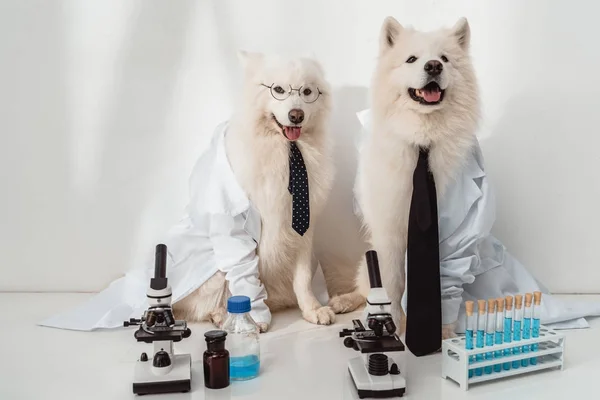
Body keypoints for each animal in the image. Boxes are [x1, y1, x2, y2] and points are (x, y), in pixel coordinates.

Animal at [171, 51, 338, 332]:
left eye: (307, 92)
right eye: (278, 90)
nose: (296, 115)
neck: (286, 150)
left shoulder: (303, 228)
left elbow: (302, 278)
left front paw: (313, 310)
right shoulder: (237, 231)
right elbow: (245, 277)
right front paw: (253, 316)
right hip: (212, 270)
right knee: (202, 303)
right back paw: (219, 315)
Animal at [328, 17, 478, 340]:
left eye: (445, 59)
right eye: (411, 59)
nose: (433, 66)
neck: (423, 140)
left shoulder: (454, 237)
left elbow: (446, 281)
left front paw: (441, 333)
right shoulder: (389, 233)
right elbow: (392, 285)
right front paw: (394, 326)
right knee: (363, 287)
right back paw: (342, 301)